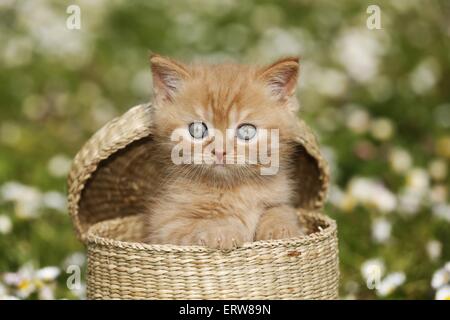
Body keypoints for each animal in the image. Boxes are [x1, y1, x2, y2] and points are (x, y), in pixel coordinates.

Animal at [144, 54, 306, 250]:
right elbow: (199, 223)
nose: (220, 151)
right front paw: (222, 231)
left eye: (246, 131)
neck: (235, 188)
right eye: (197, 130)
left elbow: (281, 209)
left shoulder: (279, 198)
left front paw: (282, 228)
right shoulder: (163, 223)